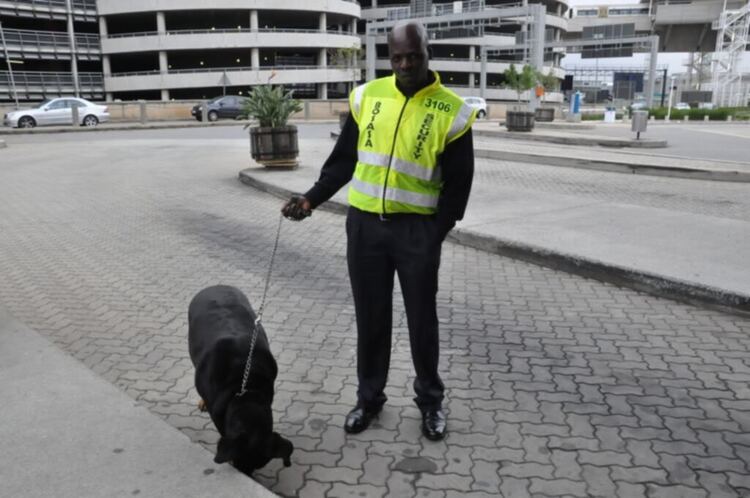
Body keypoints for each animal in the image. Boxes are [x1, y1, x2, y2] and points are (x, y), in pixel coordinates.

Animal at [188, 286, 294, 472]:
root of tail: (216, 286)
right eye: (237, 463)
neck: (245, 389)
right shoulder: (218, 414)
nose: (246, 475)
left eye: (257, 467)